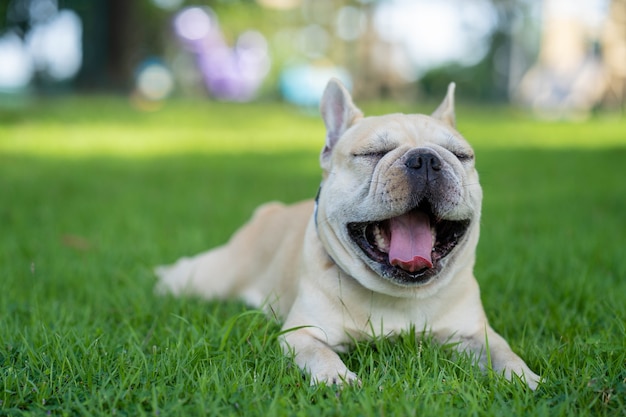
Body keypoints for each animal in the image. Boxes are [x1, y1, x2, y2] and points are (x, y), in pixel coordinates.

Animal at [154, 79, 540, 390]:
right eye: (372, 153)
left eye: (461, 155)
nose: (426, 159)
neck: (396, 295)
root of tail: (269, 211)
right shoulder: (302, 336)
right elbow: (321, 355)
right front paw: (337, 379)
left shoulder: (474, 334)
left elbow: (503, 353)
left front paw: (525, 379)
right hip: (209, 278)